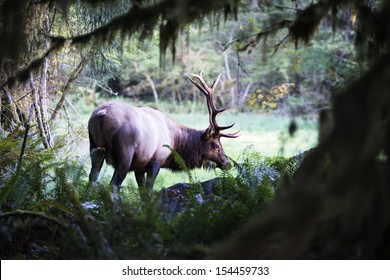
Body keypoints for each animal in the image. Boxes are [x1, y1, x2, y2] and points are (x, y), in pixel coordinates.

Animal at [88, 70, 239, 199]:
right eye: (216, 145)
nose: (228, 163)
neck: (175, 142)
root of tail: (101, 114)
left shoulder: (139, 167)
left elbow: (142, 193)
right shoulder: (156, 161)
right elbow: (149, 191)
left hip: (95, 147)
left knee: (92, 178)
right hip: (125, 154)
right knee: (114, 184)